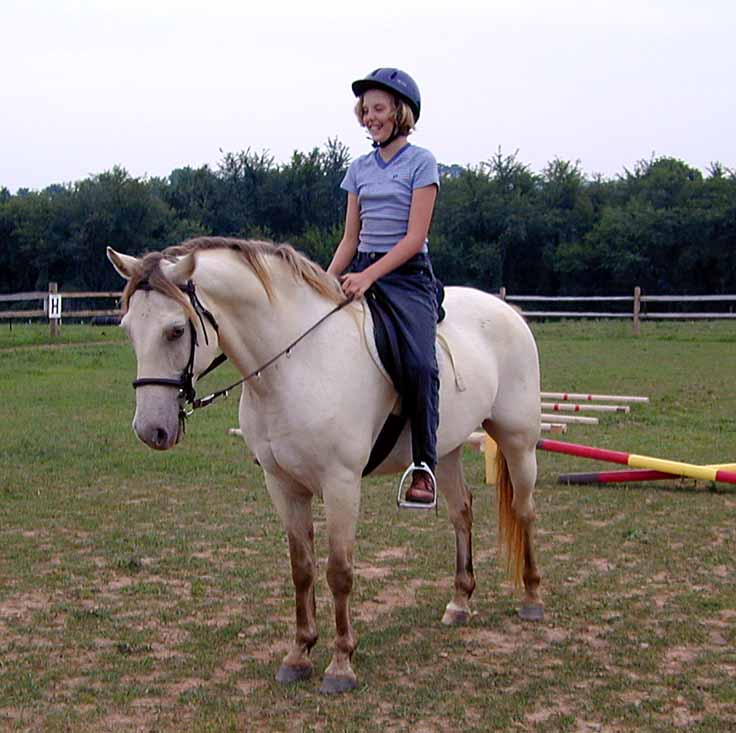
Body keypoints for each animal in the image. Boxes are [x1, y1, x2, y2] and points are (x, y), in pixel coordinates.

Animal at [107, 236, 543, 694]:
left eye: (175, 330)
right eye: (129, 330)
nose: (151, 430)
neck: (294, 365)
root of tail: (506, 311)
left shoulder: (340, 484)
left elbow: (339, 571)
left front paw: (340, 664)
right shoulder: (282, 484)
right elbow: (301, 569)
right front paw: (298, 654)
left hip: (517, 441)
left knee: (524, 510)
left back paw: (532, 599)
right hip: (447, 449)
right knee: (462, 513)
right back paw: (459, 602)